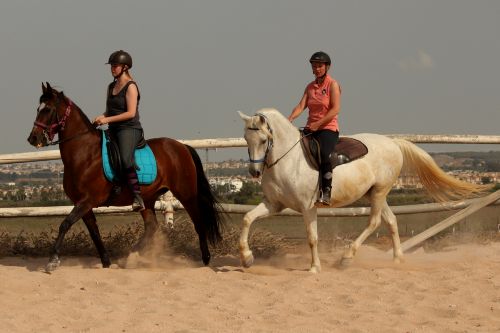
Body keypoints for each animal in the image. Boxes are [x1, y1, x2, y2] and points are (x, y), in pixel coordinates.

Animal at [26, 81, 223, 272]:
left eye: (47, 109)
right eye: (38, 109)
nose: (33, 138)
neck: (84, 153)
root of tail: (182, 147)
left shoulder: (87, 201)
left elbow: (65, 224)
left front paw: (53, 261)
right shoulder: (82, 204)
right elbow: (94, 233)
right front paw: (106, 263)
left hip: (186, 194)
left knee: (199, 222)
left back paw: (205, 259)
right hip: (148, 200)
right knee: (152, 228)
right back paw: (131, 257)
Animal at [238, 107, 488, 272]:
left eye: (263, 139)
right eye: (246, 139)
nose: (254, 172)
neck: (289, 160)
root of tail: (393, 143)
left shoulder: (307, 207)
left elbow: (312, 237)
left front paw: (314, 267)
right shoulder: (274, 204)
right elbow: (248, 218)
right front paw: (247, 258)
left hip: (378, 192)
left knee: (374, 222)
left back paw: (347, 258)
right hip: (377, 193)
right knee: (391, 221)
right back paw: (397, 259)